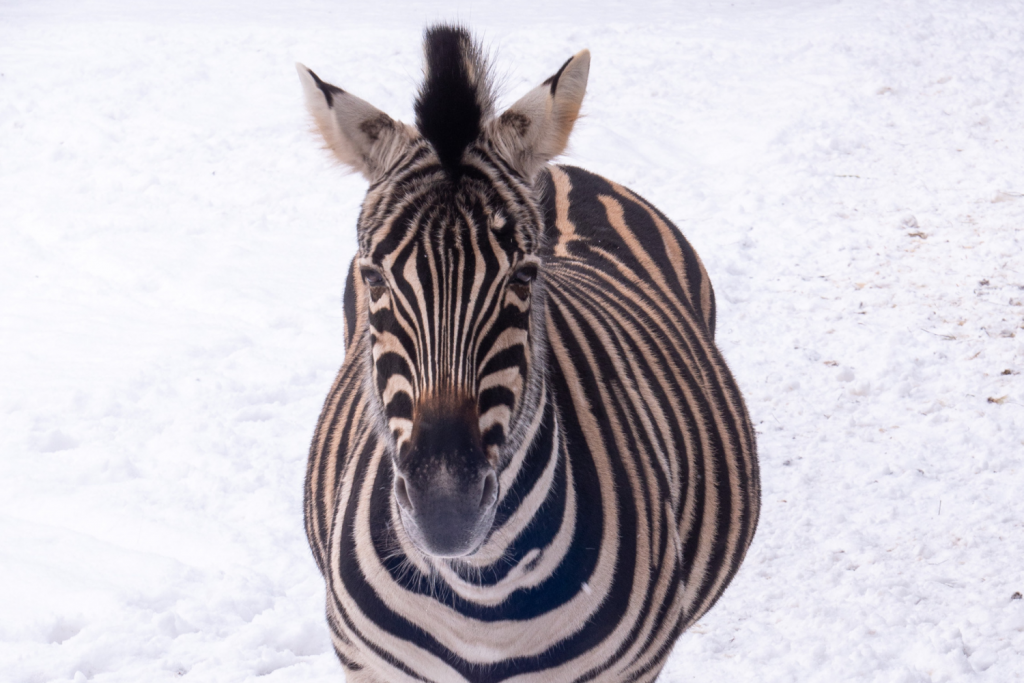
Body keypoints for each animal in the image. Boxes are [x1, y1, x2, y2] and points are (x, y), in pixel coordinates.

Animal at [296, 24, 761, 683]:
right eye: (374, 279)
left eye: (523, 277)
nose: (446, 513)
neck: (480, 596)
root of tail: (559, 169)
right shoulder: (370, 666)